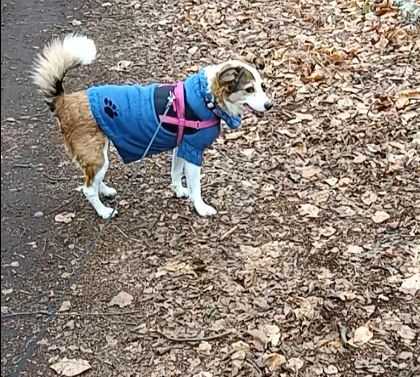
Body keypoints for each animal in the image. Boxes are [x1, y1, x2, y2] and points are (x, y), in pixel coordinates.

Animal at [31, 35, 270, 219]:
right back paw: (104, 211)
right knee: (88, 189)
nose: (270, 105)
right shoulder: (193, 152)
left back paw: (105, 190)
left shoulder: (181, 147)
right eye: (249, 89)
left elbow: (176, 172)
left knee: (92, 180)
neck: (205, 96)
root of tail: (64, 102)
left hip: (100, 154)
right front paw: (200, 207)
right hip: (96, 155)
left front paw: (178, 190)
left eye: (262, 86)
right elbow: (196, 186)